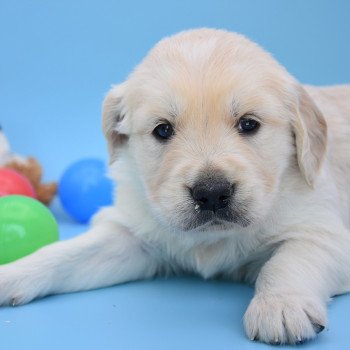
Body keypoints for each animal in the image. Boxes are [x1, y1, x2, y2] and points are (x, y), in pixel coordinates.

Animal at [0, 28, 350, 344]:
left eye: (249, 124)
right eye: (163, 130)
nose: (212, 193)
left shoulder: (324, 232)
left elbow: (289, 260)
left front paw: (280, 306)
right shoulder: (133, 235)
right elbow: (65, 253)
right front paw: (13, 272)